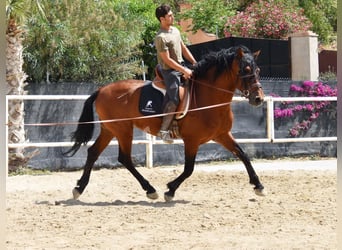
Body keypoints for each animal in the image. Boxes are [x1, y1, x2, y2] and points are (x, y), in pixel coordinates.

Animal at [65, 44, 268, 201]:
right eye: (246, 71)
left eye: (258, 71)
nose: (258, 98)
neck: (207, 96)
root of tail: (102, 89)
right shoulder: (192, 140)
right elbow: (189, 169)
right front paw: (170, 189)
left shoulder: (222, 135)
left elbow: (243, 155)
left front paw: (258, 185)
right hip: (122, 129)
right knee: (124, 158)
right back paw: (150, 189)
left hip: (110, 129)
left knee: (94, 153)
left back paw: (79, 188)